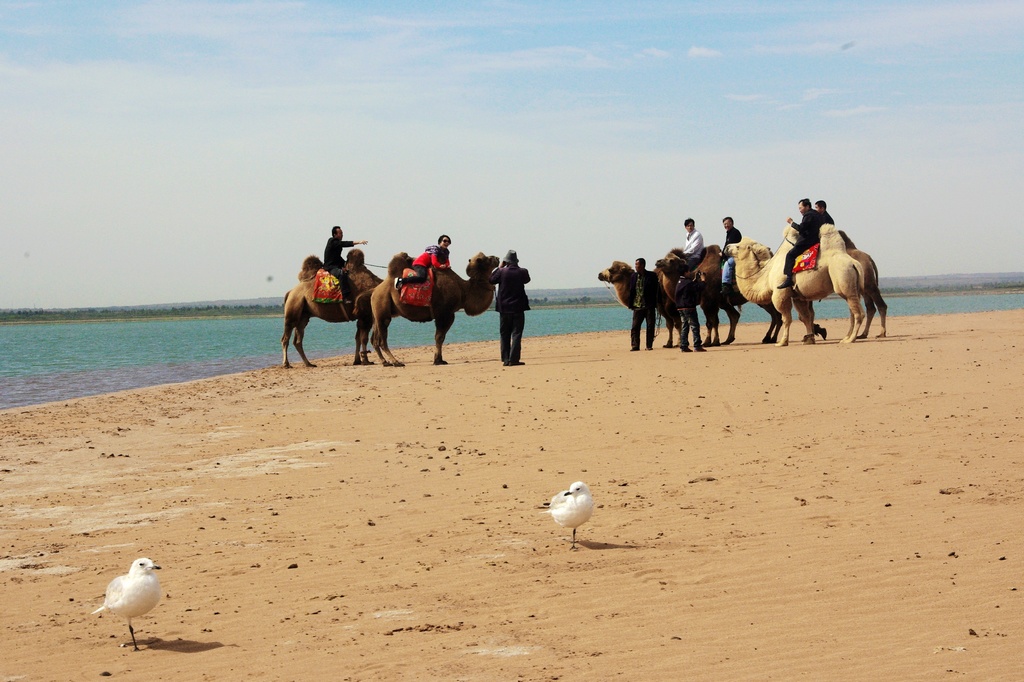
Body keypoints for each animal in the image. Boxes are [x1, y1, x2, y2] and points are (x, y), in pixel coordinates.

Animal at [368, 250, 499, 366]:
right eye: (486, 259)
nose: (497, 258)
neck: (464, 290)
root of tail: (375, 290)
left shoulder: (448, 315)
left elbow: (441, 337)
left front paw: (440, 359)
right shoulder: (444, 313)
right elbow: (439, 337)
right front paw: (437, 360)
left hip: (378, 313)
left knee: (375, 339)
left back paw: (385, 362)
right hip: (382, 307)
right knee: (382, 339)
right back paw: (396, 362)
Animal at [724, 225, 868, 346]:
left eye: (738, 246)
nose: (727, 247)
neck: (767, 274)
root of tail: (853, 263)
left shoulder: (780, 294)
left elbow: (786, 319)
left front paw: (782, 342)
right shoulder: (798, 296)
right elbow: (805, 317)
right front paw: (809, 339)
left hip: (843, 278)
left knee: (858, 313)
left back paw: (850, 339)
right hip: (852, 287)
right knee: (852, 312)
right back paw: (846, 337)